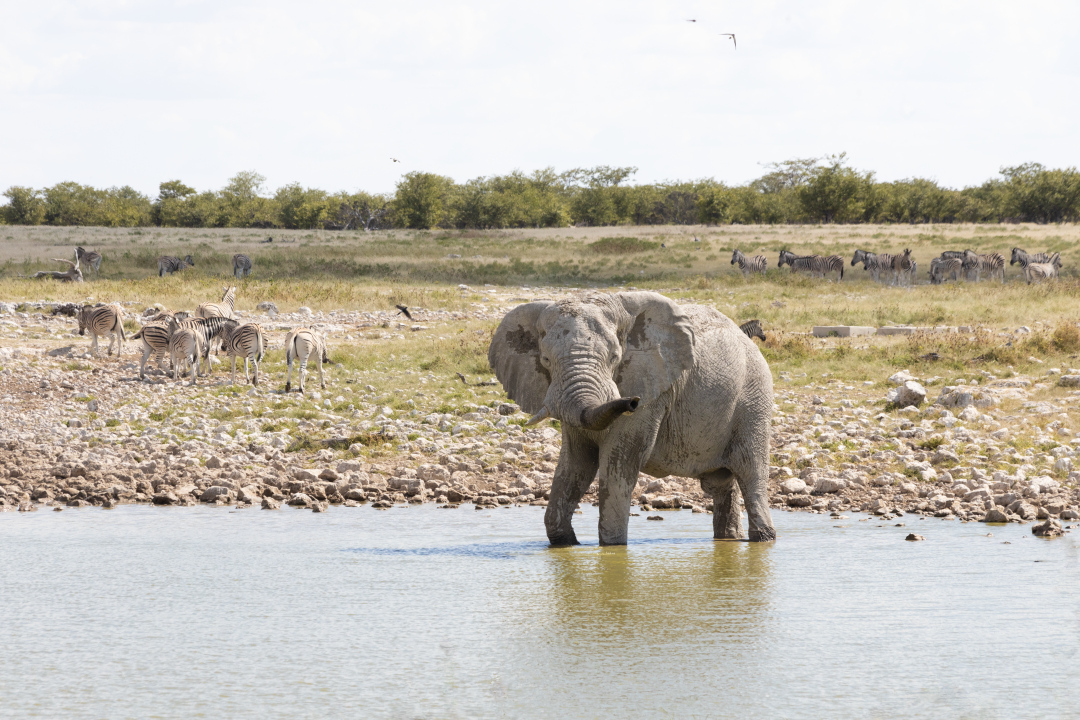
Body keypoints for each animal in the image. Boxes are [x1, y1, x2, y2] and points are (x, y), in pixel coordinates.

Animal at [488, 291, 776, 546]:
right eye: (546, 360)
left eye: (615, 357)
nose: (632, 401)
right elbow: (574, 466)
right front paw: (565, 543)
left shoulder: (651, 393)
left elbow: (619, 464)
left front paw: (612, 547)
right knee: (721, 485)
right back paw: (729, 539)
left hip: (753, 401)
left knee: (751, 474)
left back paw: (763, 538)